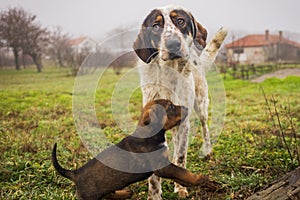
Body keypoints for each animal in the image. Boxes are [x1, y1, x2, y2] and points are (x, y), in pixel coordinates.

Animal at [51, 99, 216, 199]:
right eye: (170, 107)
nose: (187, 108)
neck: (151, 134)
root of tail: (75, 174)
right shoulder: (162, 166)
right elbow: (182, 171)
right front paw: (200, 179)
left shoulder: (164, 167)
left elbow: (180, 175)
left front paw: (196, 184)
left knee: (109, 194)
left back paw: (124, 193)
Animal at [134, 4, 227, 200]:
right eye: (156, 26)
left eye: (180, 21)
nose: (173, 44)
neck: (169, 74)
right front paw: (154, 194)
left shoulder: (184, 123)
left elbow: (181, 157)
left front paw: (180, 188)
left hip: (201, 106)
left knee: (205, 129)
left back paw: (207, 150)